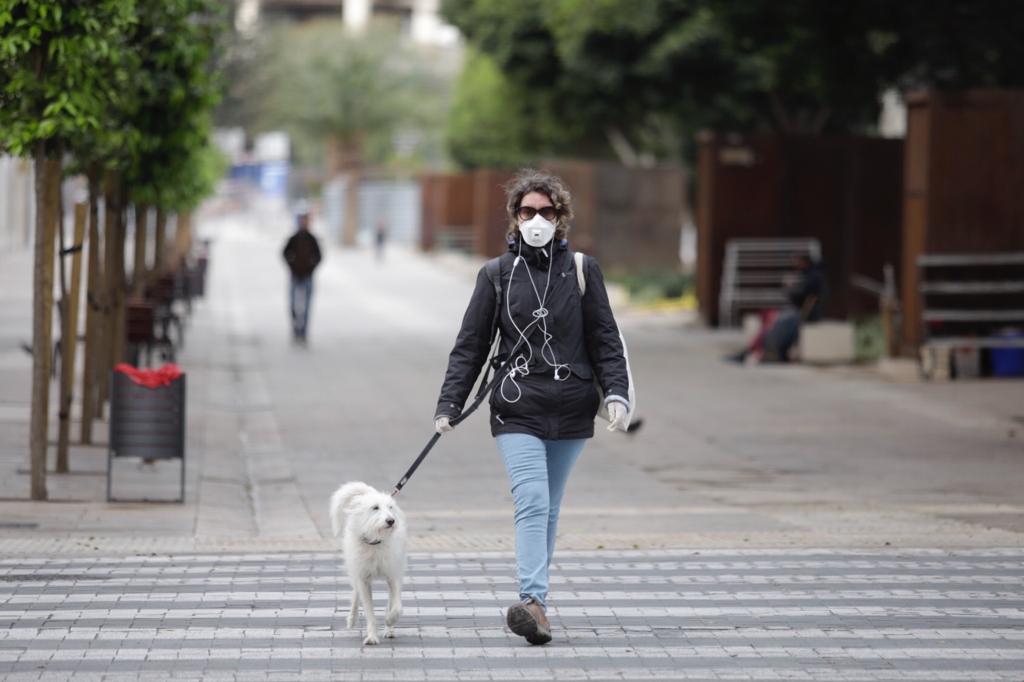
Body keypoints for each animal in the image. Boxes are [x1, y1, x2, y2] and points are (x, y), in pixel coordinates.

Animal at [329, 477, 405, 643]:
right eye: (375, 508)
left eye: (390, 507)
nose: (391, 521)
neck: (375, 542)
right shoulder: (363, 579)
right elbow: (369, 612)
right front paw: (371, 637)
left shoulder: (393, 575)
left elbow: (396, 606)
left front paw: (389, 620)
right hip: (355, 571)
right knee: (355, 593)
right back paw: (352, 619)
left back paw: (389, 629)